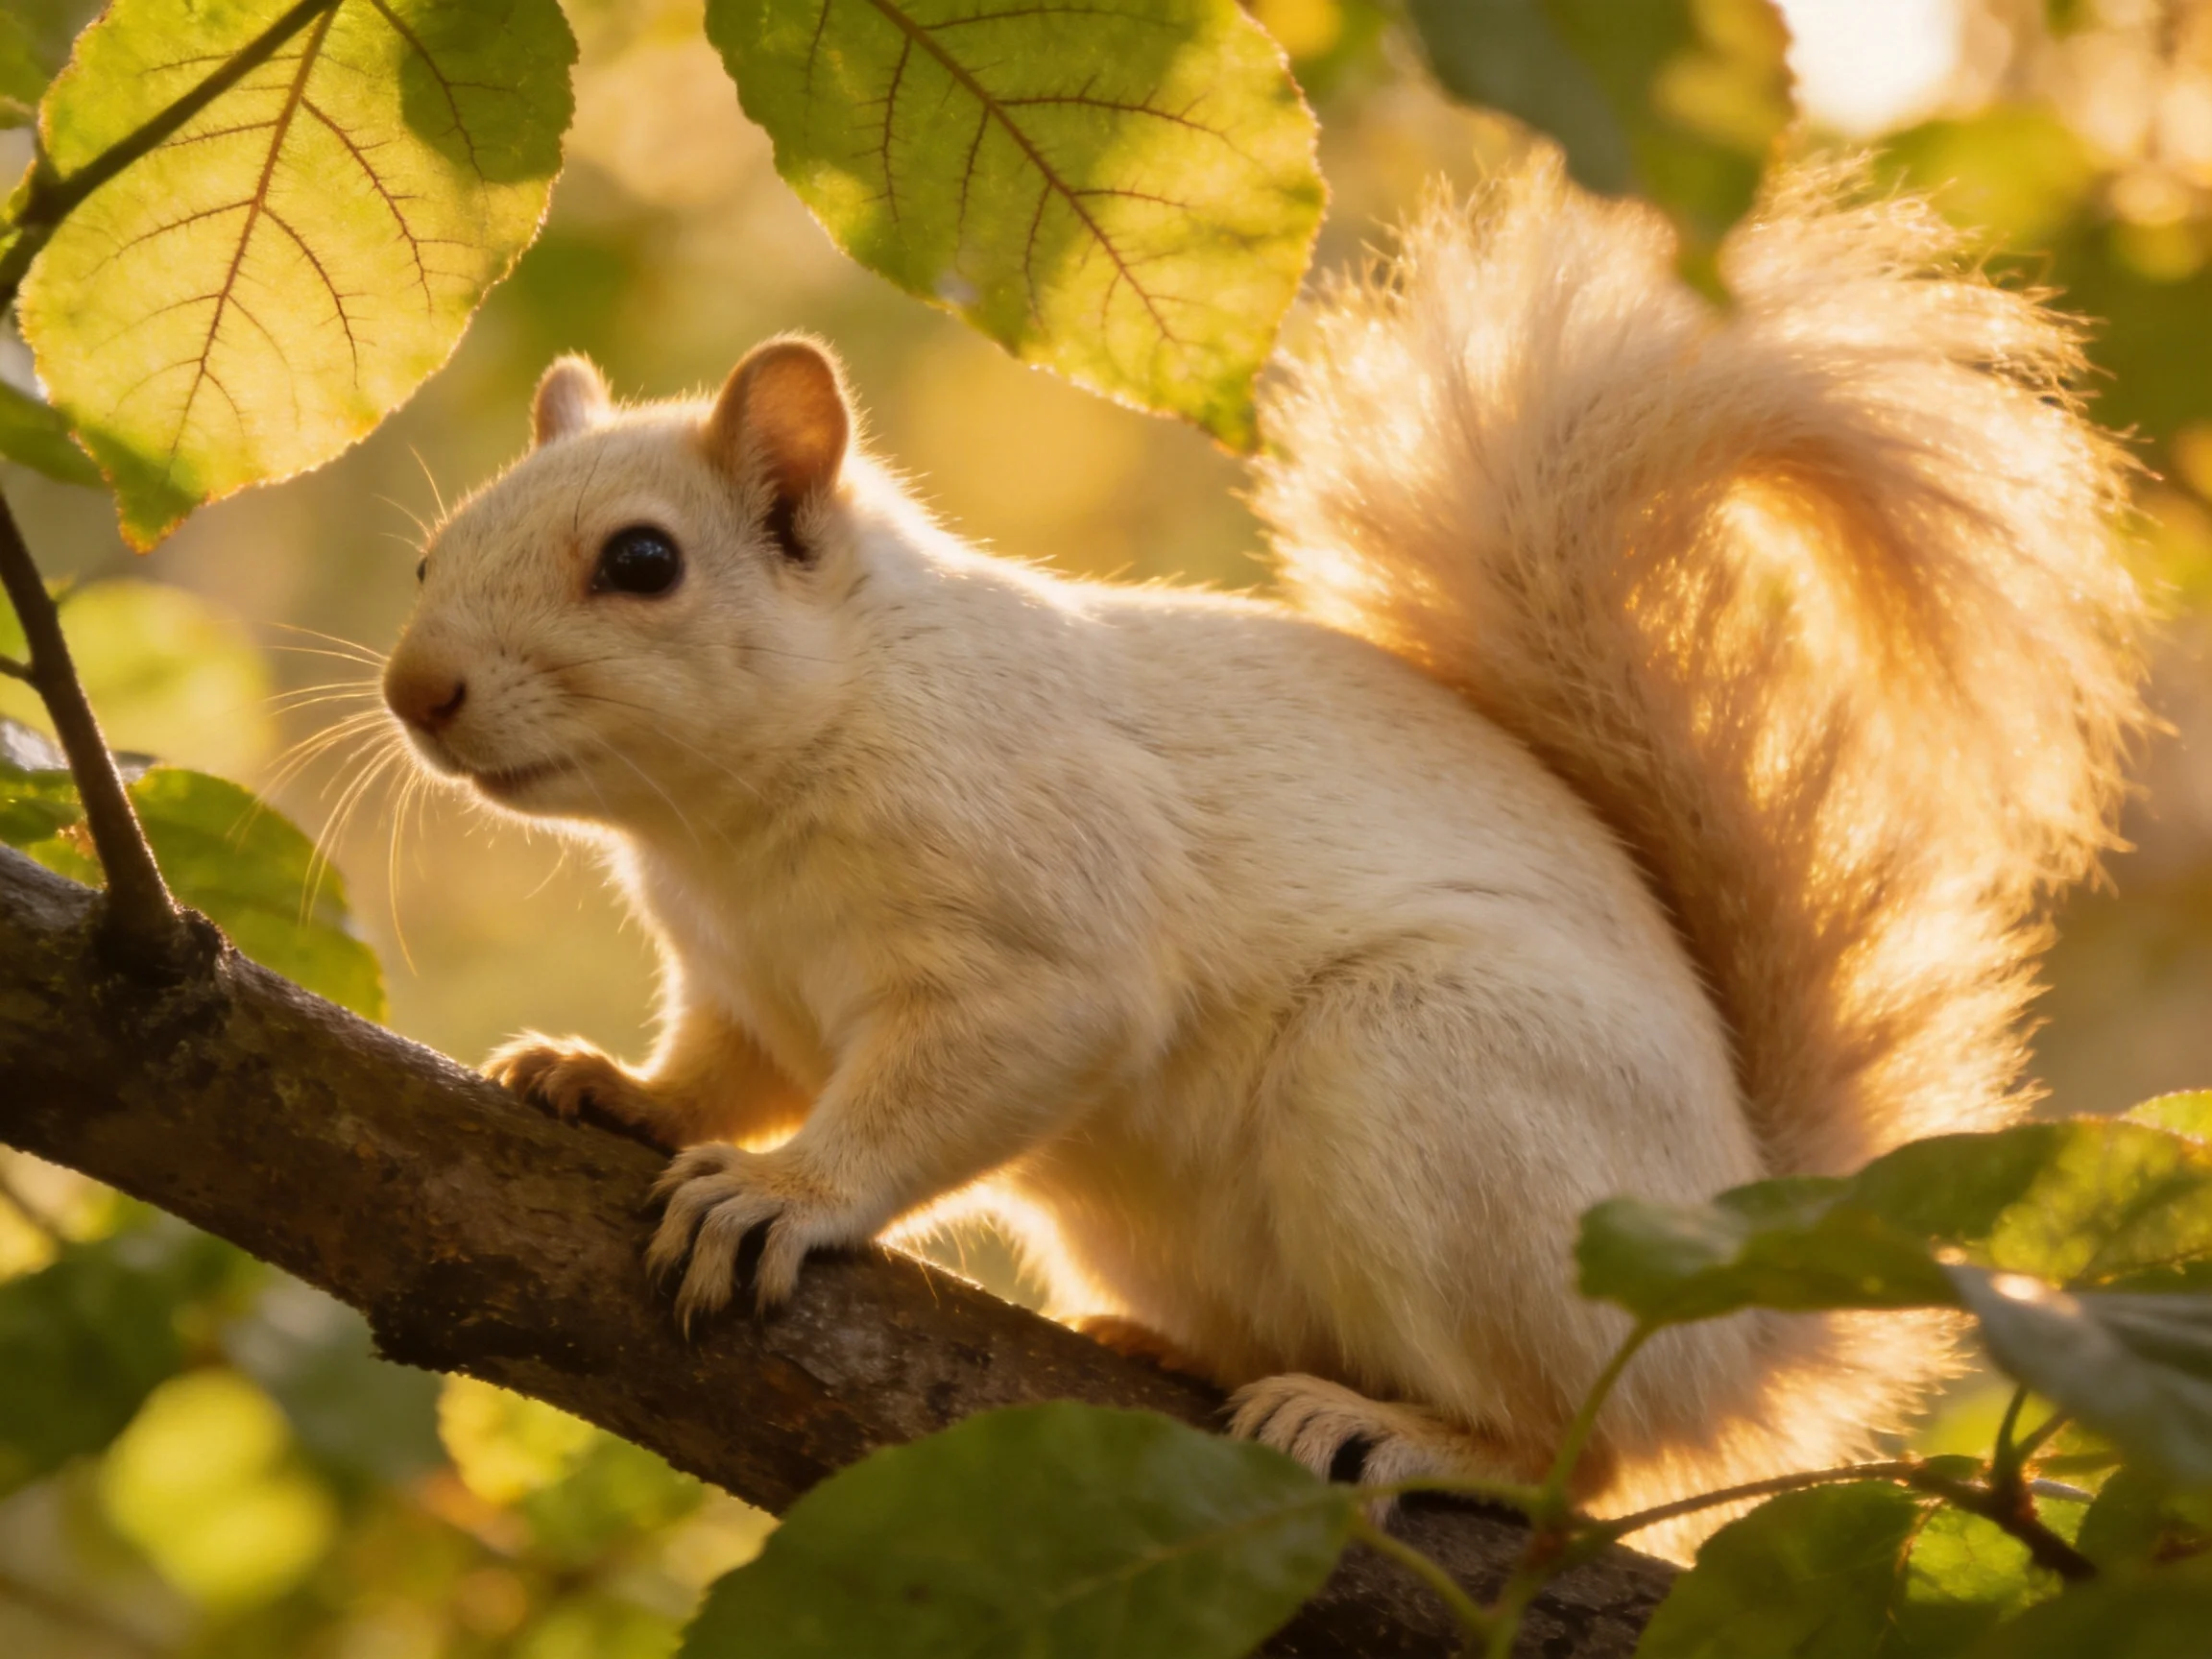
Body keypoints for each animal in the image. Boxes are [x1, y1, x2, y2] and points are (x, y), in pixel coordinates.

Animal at [380, 154, 2146, 1556]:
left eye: (642, 563)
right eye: (424, 552)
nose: (416, 690)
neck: (729, 820)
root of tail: (1740, 1296)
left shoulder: (1040, 910)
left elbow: (962, 1073)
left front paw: (784, 1192)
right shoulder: (742, 983)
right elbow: (719, 1069)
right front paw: (605, 1082)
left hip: (1431, 1084)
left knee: (1579, 1460)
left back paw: (1417, 1431)